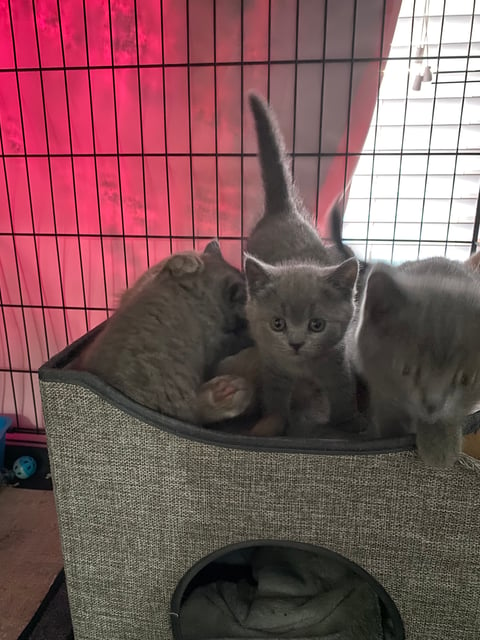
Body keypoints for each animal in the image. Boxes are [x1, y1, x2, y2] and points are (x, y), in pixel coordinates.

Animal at [244, 92, 360, 438]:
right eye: (277, 324)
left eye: (317, 325)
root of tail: (283, 209)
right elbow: (275, 402)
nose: (296, 344)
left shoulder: (337, 363)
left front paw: (347, 426)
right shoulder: (273, 366)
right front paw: (270, 426)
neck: (302, 367)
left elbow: (343, 397)